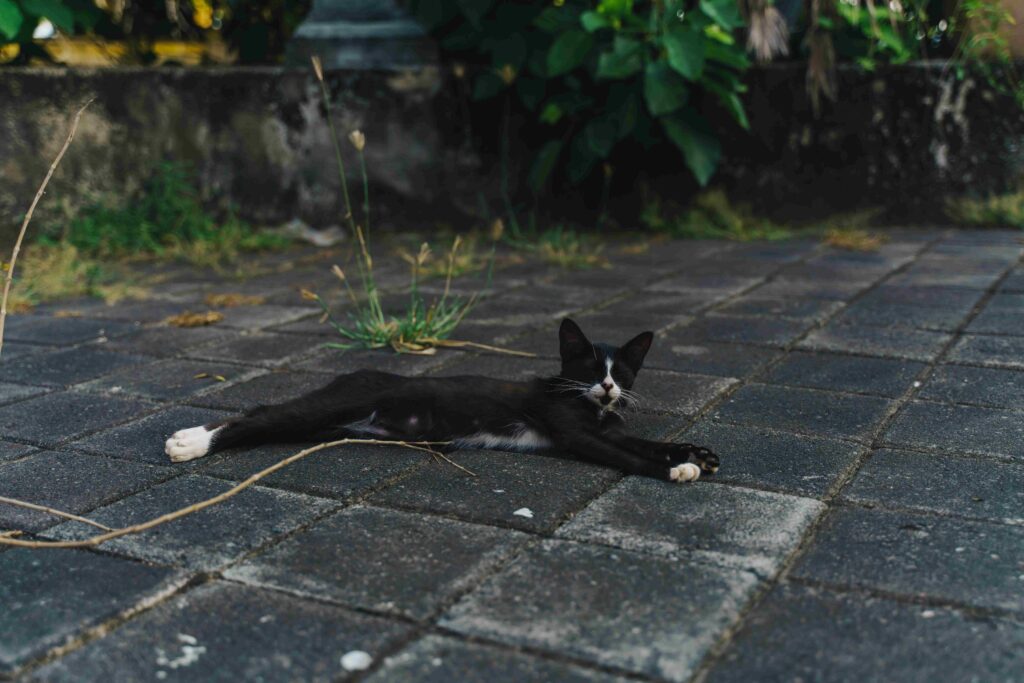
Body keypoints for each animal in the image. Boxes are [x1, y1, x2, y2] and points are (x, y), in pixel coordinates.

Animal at [161, 319, 720, 483]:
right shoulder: (575, 431)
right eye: (587, 370)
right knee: (263, 415)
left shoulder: (609, 425)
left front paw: (694, 453)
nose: (607, 388)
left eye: (620, 372)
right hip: (332, 405)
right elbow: (627, 456)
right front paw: (676, 469)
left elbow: (644, 441)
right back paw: (190, 442)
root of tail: (352, 372)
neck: (592, 408)